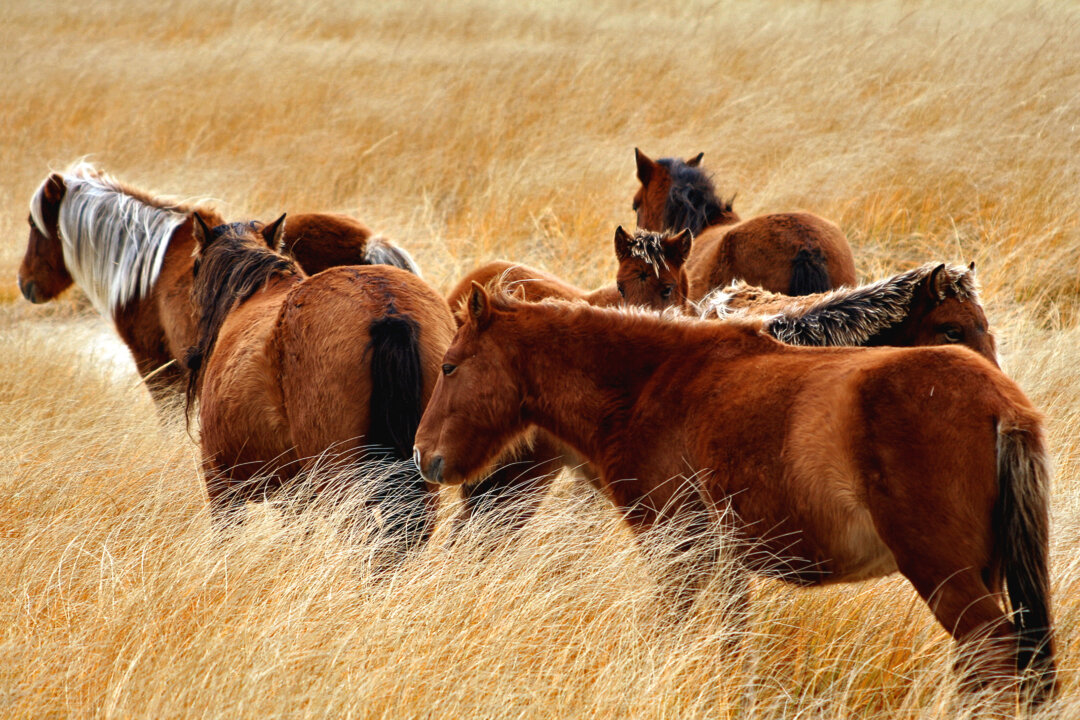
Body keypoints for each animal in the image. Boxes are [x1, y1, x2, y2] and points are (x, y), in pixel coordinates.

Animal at [414, 285, 1056, 706]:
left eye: (450, 366)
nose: (425, 457)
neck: (651, 383)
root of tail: (1001, 402)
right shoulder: (724, 565)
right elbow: (730, 646)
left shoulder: (675, 554)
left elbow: (666, 633)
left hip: (945, 576)